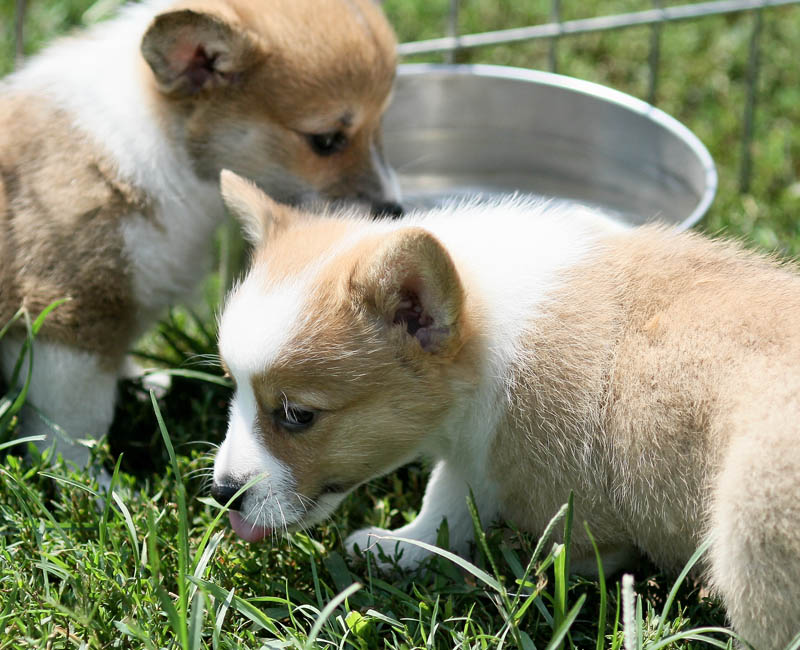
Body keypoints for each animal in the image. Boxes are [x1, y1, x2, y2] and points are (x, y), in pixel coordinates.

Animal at [0, 0, 400, 466]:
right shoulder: (68, 314)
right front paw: (85, 479)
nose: (395, 209)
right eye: (326, 140)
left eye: (380, 126)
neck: (165, 144)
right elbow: (72, 424)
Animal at [211, 170, 800, 644]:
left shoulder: (529, 471)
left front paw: (398, 549)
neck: (486, 329)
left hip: (751, 527)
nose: (222, 495)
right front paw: (398, 550)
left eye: (297, 415)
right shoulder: (476, 453)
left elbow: (453, 506)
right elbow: (448, 506)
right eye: (231, 386)